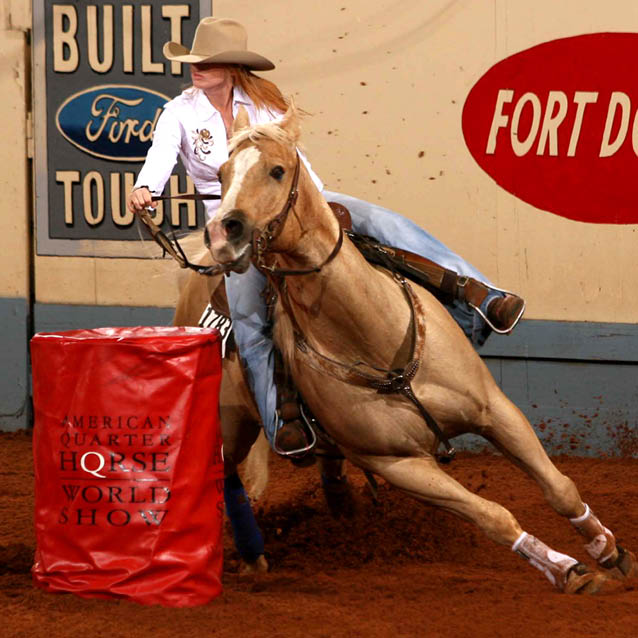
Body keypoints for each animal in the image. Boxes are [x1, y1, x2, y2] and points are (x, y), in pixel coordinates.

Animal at [203, 102, 637, 594]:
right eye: (221, 173)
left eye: (277, 170)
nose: (223, 233)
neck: (375, 341)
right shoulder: (399, 464)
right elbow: (494, 516)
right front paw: (567, 569)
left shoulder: (495, 410)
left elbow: (559, 487)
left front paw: (610, 551)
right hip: (231, 425)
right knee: (226, 477)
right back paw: (252, 556)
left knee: (325, 465)